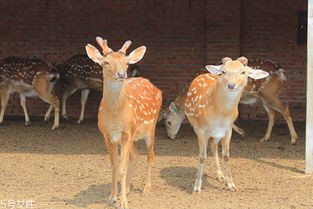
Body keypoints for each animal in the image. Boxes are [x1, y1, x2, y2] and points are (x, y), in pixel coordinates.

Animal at [85, 36, 162, 208]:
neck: (115, 119)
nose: (121, 74)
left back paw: (146, 188)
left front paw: (123, 203)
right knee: (136, 154)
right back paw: (125, 189)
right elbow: (114, 166)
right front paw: (112, 197)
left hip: (151, 127)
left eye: (126, 62)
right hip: (132, 135)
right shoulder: (107, 135)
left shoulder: (127, 133)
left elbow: (122, 168)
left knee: (150, 155)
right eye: (106, 62)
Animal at [162, 58, 296, 145]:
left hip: (269, 93)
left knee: (284, 108)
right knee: (272, 113)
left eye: (168, 122)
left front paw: (241, 133)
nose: (170, 137)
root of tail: (281, 72)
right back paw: (265, 138)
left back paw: (293, 139)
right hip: (263, 96)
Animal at [185, 56, 268, 193]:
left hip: (217, 134)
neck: (220, 115)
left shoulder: (228, 130)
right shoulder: (201, 129)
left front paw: (231, 184)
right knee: (204, 150)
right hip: (195, 126)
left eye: (243, 72)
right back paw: (202, 173)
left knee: (213, 146)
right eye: (223, 71)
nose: (231, 85)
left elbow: (226, 155)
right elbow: (202, 156)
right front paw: (196, 187)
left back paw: (220, 175)